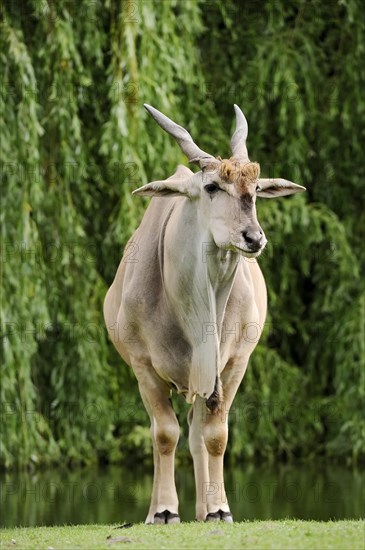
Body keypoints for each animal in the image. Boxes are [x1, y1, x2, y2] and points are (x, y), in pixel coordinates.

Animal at [103, 104, 304, 528]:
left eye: (256, 189)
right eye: (212, 187)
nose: (253, 238)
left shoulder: (232, 365)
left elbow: (215, 436)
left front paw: (219, 509)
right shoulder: (144, 367)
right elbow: (164, 433)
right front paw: (164, 511)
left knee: (198, 435)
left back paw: (205, 509)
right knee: (171, 432)